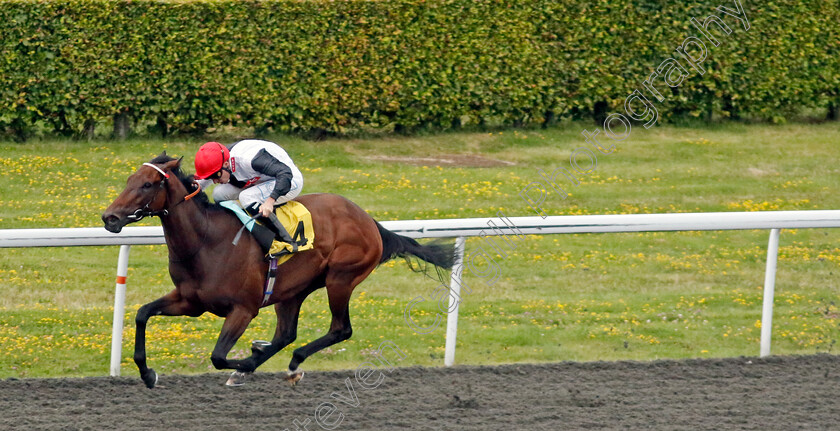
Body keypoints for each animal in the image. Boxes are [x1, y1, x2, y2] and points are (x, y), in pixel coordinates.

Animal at [101, 154, 456, 390]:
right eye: (129, 180)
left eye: (147, 184)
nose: (110, 218)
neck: (206, 241)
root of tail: (370, 221)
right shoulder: (190, 302)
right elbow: (142, 313)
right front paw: (147, 373)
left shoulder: (243, 309)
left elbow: (218, 356)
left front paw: (246, 362)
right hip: (293, 290)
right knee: (287, 333)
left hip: (340, 278)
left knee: (340, 329)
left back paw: (290, 362)